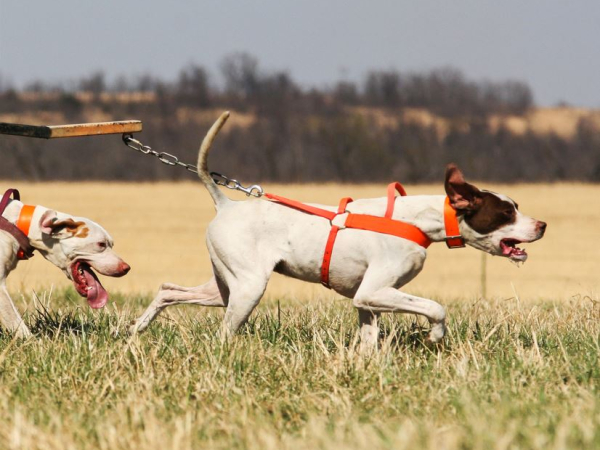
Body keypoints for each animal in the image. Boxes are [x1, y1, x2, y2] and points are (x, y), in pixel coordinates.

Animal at [131, 113, 548, 348]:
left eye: (517, 206)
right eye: (506, 212)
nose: (542, 225)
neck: (417, 219)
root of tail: (226, 203)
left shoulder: (368, 301)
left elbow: (368, 342)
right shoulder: (374, 291)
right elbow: (435, 307)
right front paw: (435, 335)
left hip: (225, 288)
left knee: (168, 290)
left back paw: (136, 330)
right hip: (248, 289)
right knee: (222, 333)